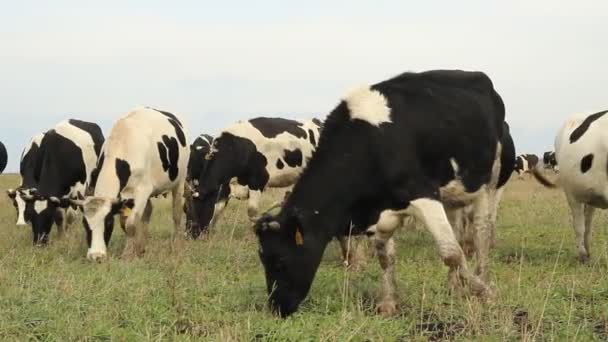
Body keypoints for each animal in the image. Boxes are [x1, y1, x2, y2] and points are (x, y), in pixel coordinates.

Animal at [69, 105, 188, 260]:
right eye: (85, 223)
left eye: (108, 222)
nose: (96, 256)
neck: (122, 143)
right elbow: (126, 223)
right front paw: (133, 250)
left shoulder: (143, 190)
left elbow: (131, 224)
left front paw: (127, 255)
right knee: (148, 211)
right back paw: (141, 247)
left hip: (179, 181)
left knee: (177, 213)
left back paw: (178, 246)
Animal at [189, 116, 324, 239]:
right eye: (187, 209)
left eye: (198, 209)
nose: (190, 235)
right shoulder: (226, 184)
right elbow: (218, 208)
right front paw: (210, 232)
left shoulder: (258, 180)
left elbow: (252, 211)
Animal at [254, 69, 506, 318]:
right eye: (263, 259)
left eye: (281, 260)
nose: (277, 307)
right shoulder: (382, 212)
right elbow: (385, 256)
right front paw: (388, 303)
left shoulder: (424, 193)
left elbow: (450, 253)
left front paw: (486, 292)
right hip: (453, 194)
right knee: (459, 229)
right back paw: (454, 286)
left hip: (489, 182)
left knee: (481, 231)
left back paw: (482, 277)